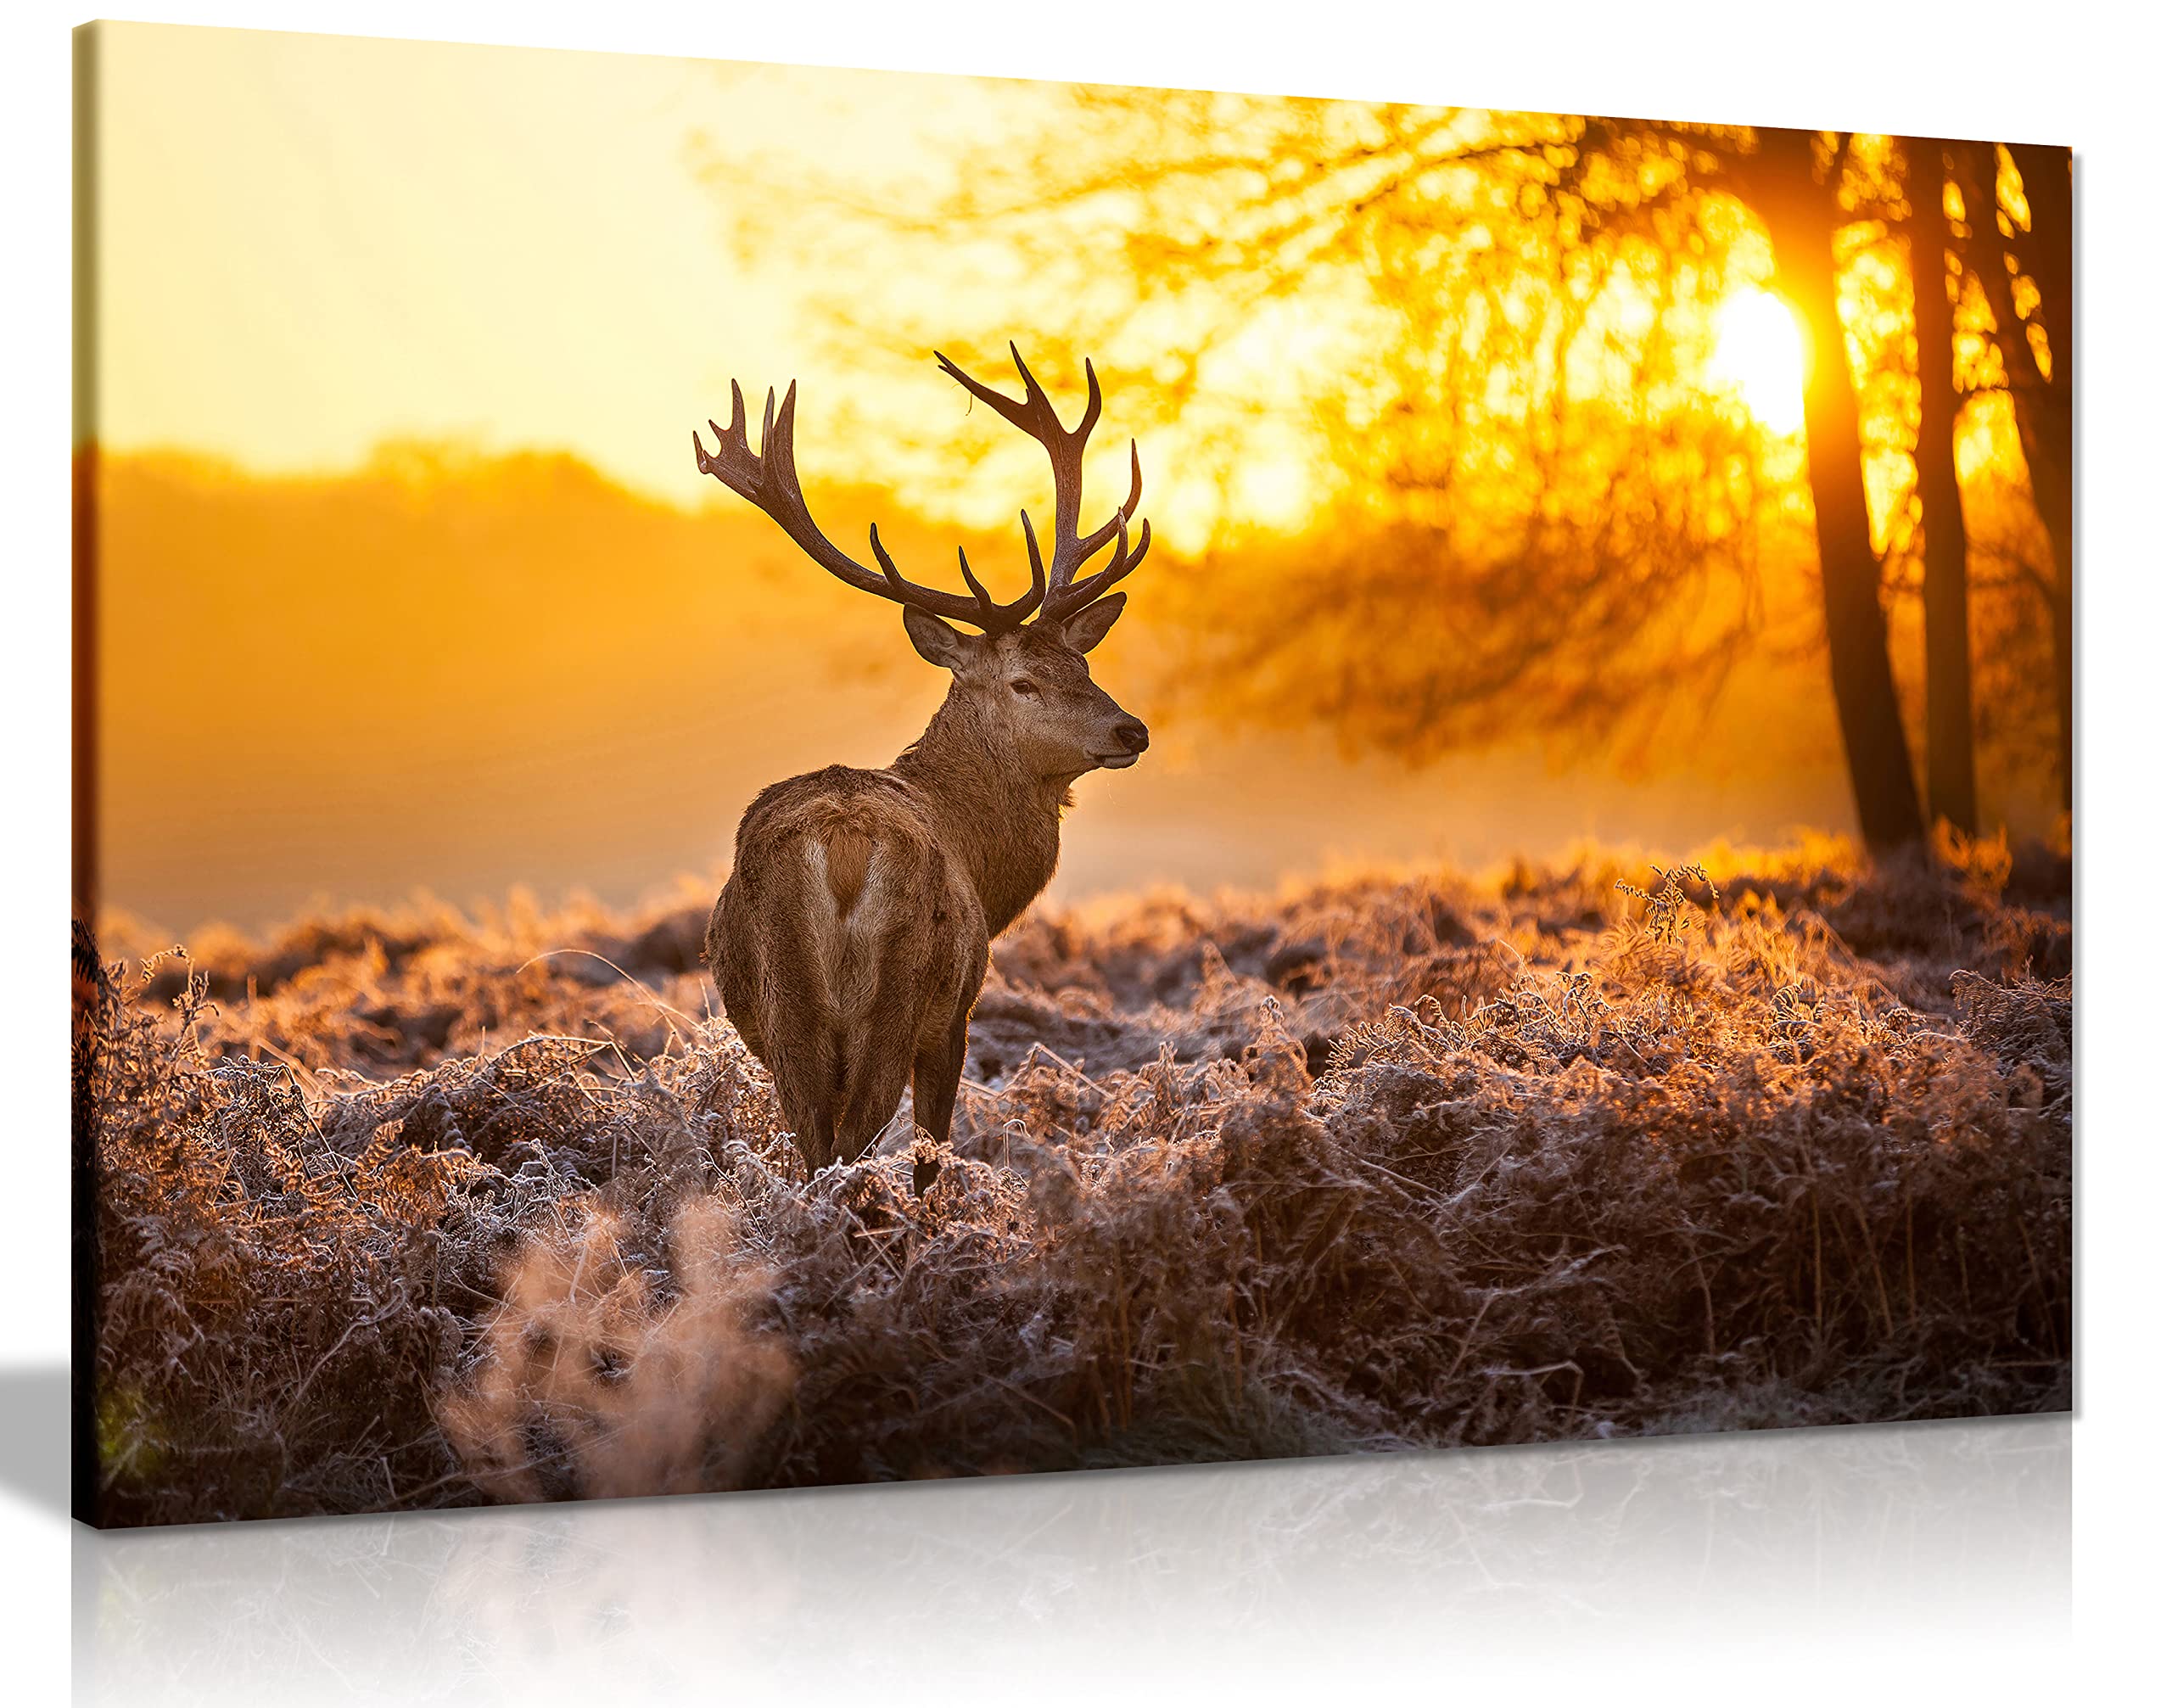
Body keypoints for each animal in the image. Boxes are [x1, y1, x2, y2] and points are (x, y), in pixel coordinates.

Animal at [691, 346, 1152, 1190]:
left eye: (1082, 662)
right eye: (1024, 681)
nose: (1130, 728)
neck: (984, 862)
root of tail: (842, 848)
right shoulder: (958, 1010)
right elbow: (933, 1149)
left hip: (785, 1007)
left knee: (814, 1143)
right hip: (900, 993)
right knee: (856, 1138)